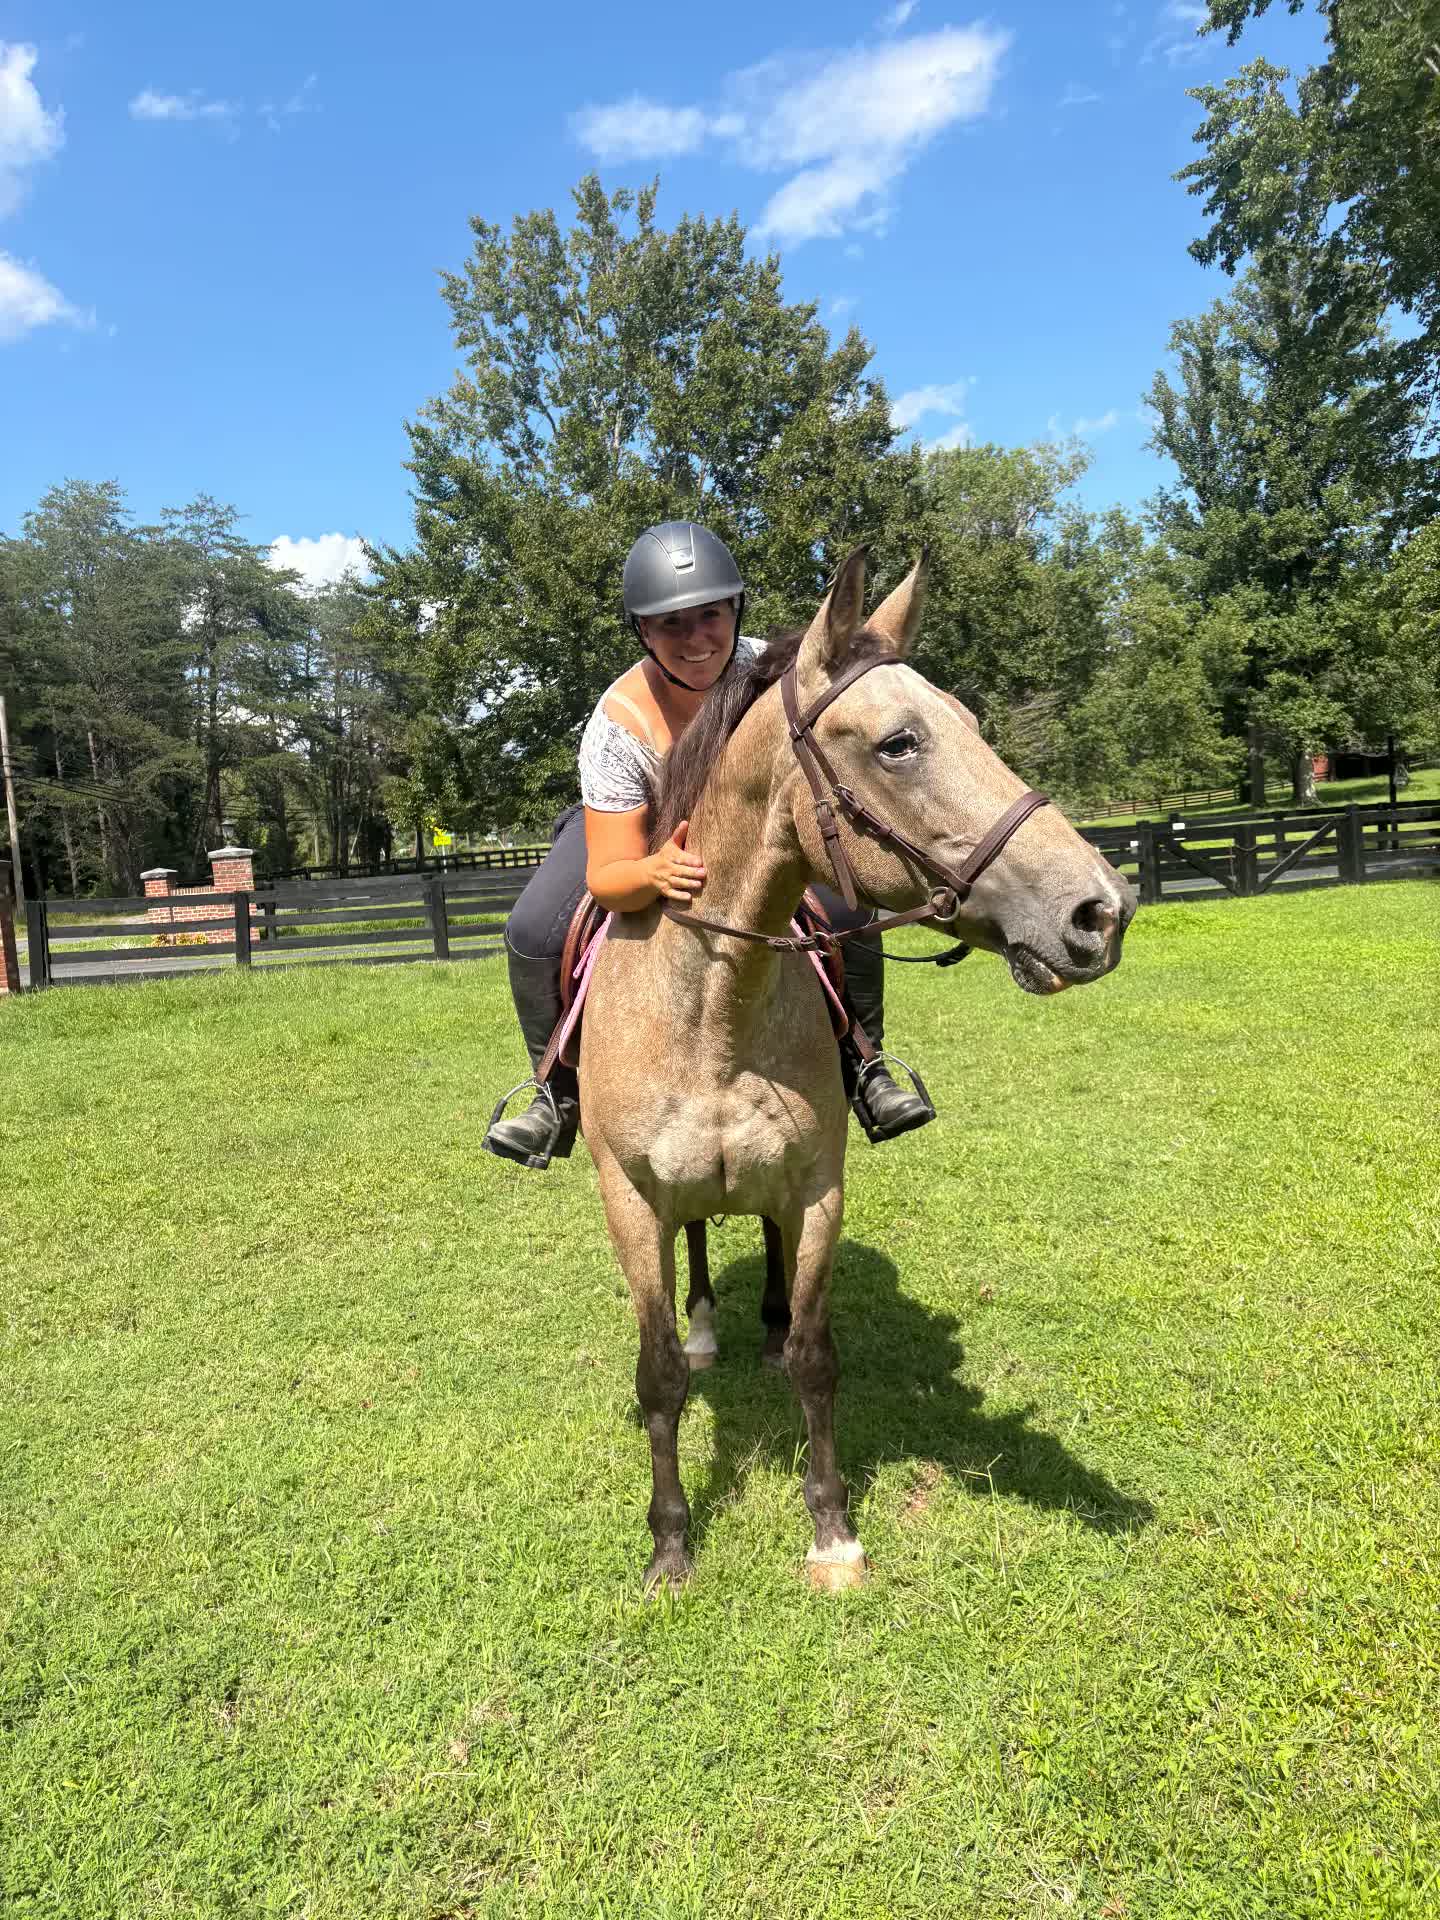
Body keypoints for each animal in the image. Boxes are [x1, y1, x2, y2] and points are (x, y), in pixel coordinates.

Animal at [579, 547, 1136, 1591]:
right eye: (899, 743)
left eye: (970, 722)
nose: (1101, 911)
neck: (716, 1008)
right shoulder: (629, 1201)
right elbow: (658, 1373)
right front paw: (670, 1542)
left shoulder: (817, 1188)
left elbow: (814, 1356)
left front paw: (831, 1529)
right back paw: (711, 1328)